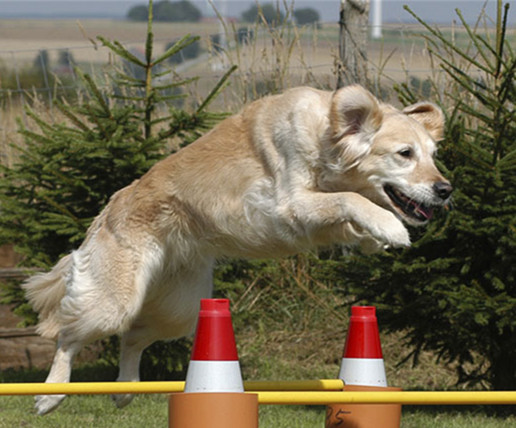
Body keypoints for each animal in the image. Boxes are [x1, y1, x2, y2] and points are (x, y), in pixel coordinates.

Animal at [24, 84, 452, 414]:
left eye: (433, 156)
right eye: (405, 154)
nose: (446, 190)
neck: (325, 138)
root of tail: (108, 209)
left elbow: (348, 211)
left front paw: (373, 236)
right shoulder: (287, 205)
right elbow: (350, 199)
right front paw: (390, 226)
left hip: (179, 307)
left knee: (132, 338)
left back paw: (125, 390)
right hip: (113, 301)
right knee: (67, 337)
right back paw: (50, 395)